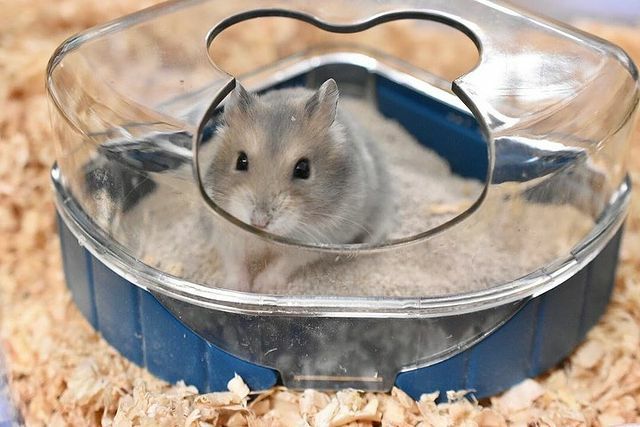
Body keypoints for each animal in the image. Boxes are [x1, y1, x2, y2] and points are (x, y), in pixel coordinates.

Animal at [203, 79, 391, 291]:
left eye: (303, 169)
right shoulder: (223, 229)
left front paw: (261, 287)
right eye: (241, 161)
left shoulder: (313, 241)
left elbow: (283, 264)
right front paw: (236, 288)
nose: (259, 223)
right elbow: (234, 261)